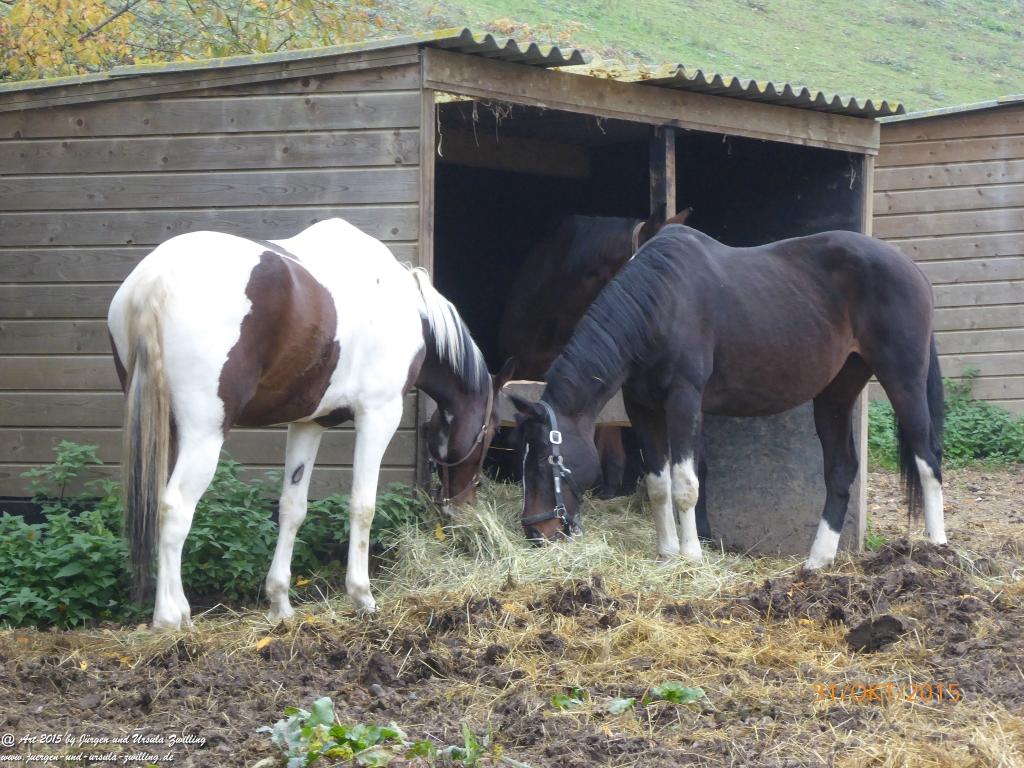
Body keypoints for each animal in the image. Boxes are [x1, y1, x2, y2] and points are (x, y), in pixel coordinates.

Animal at [108, 218, 506, 630]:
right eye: (491, 433)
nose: (464, 507)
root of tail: (156, 279)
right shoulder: (378, 415)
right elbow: (363, 506)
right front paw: (363, 597)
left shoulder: (308, 424)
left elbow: (292, 508)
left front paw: (280, 603)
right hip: (204, 435)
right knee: (175, 508)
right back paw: (170, 617)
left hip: (168, 432)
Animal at [510, 222, 946, 570]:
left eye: (547, 459)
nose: (536, 533)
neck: (661, 304)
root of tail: (911, 269)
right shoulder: (643, 407)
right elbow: (658, 484)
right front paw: (667, 554)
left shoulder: (684, 399)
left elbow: (685, 484)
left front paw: (691, 556)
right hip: (836, 393)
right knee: (840, 469)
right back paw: (817, 561)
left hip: (903, 380)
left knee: (928, 459)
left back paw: (937, 550)